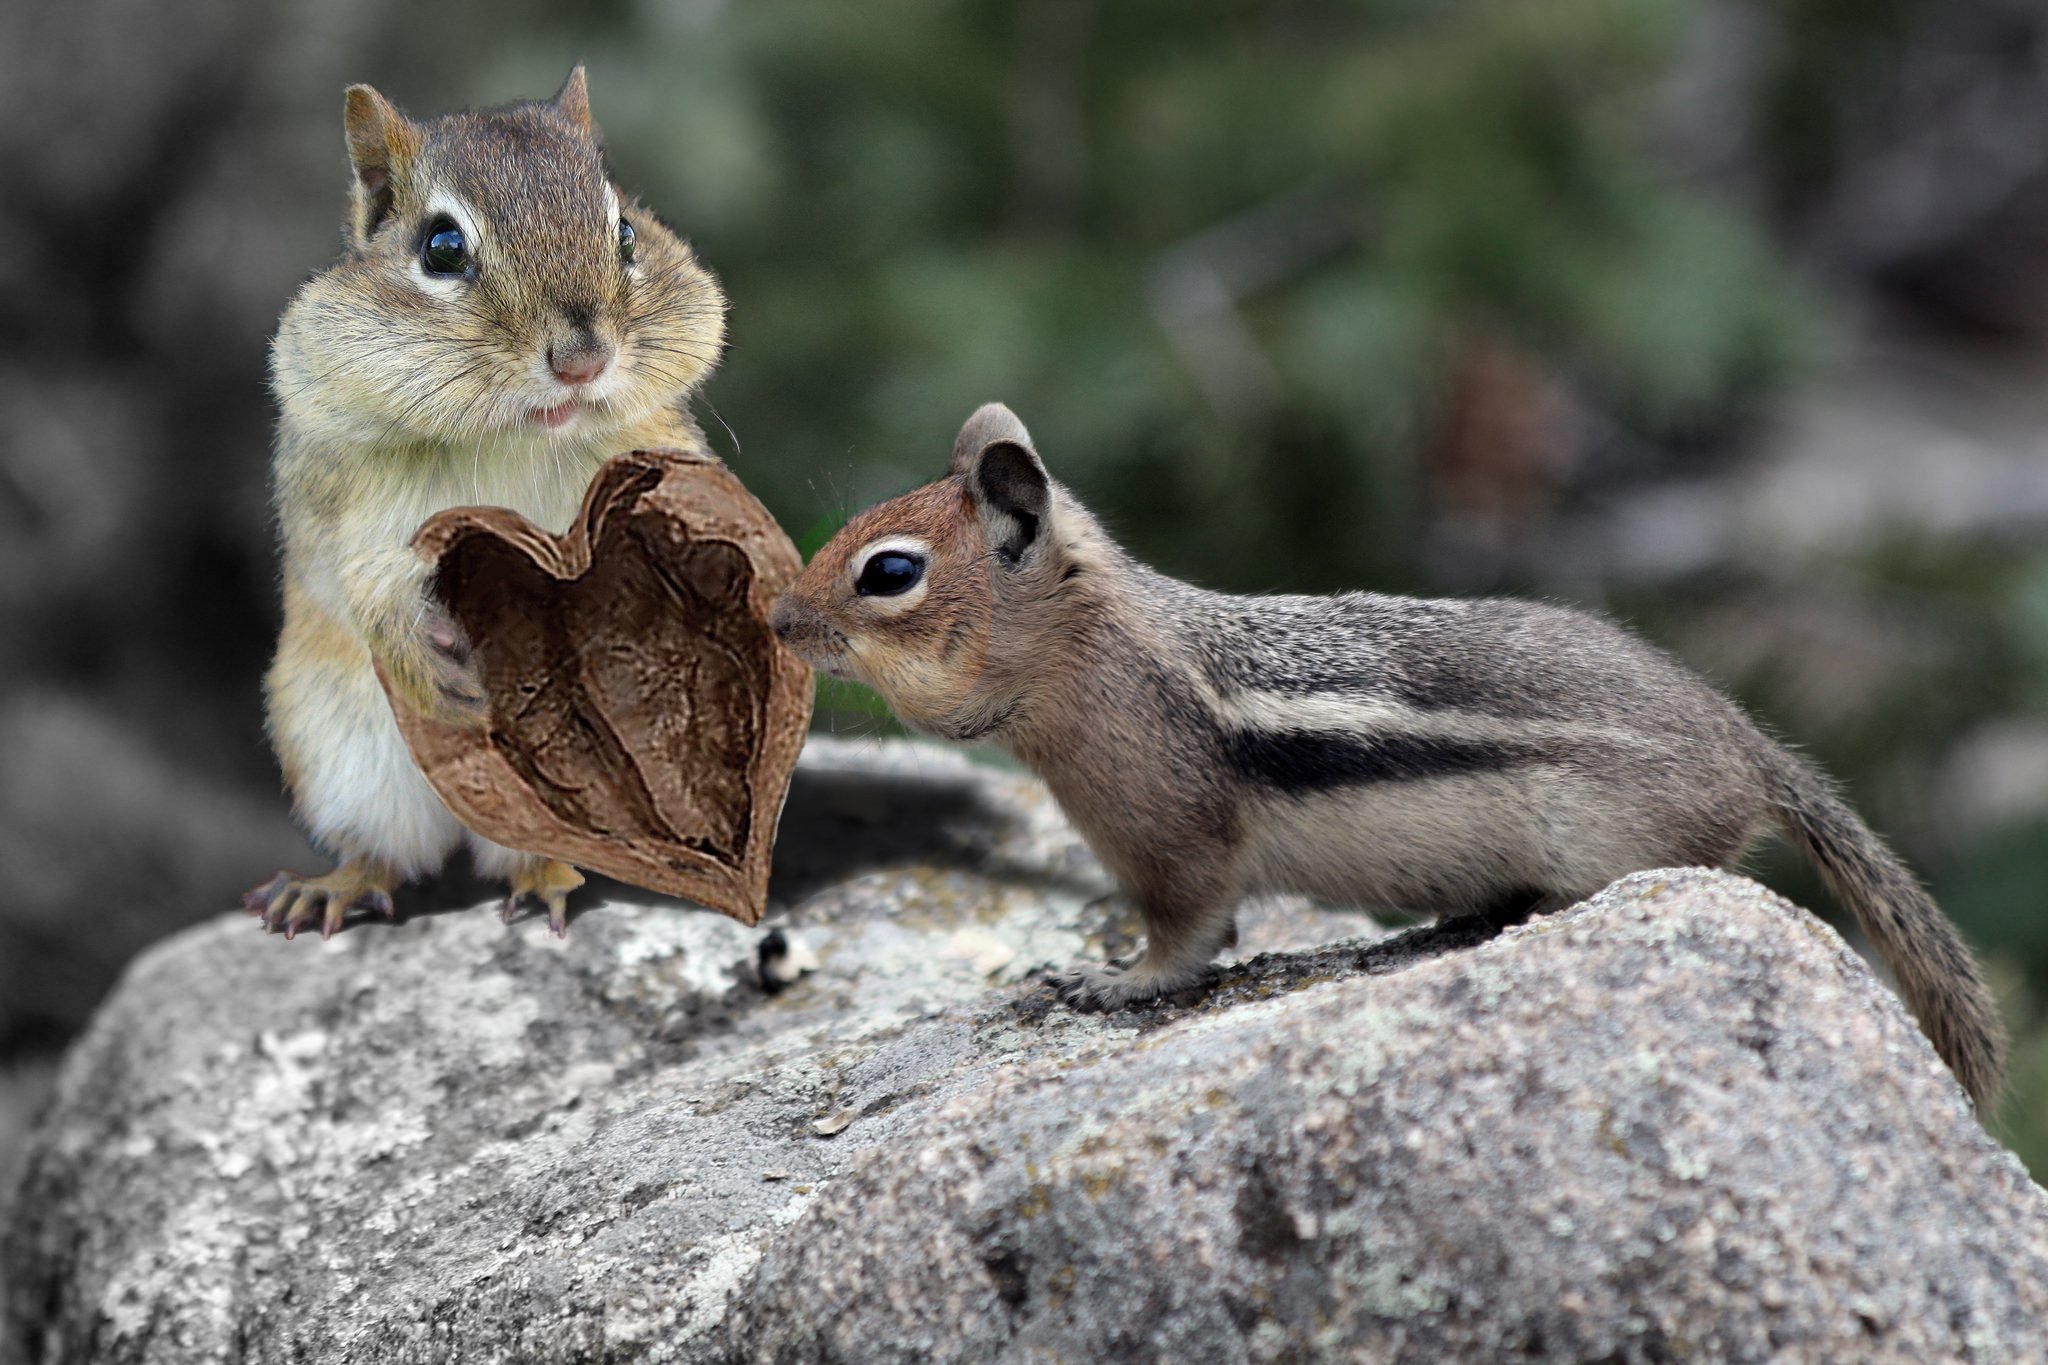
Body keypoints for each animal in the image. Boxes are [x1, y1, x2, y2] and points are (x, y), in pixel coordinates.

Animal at [248, 63, 729, 941]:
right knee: (384, 853)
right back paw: (332, 885)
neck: (516, 439)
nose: (583, 360)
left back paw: (551, 878)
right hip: (335, 749)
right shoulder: (350, 504)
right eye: (441, 248)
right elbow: (363, 583)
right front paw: (420, 654)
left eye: (627, 233)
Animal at [774, 403, 2007, 1113]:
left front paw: (1107, 979)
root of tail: (1749, 745)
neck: (1095, 651)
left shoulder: (1171, 834)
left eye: (889, 572)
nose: (778, 619)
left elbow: (1186, 934)